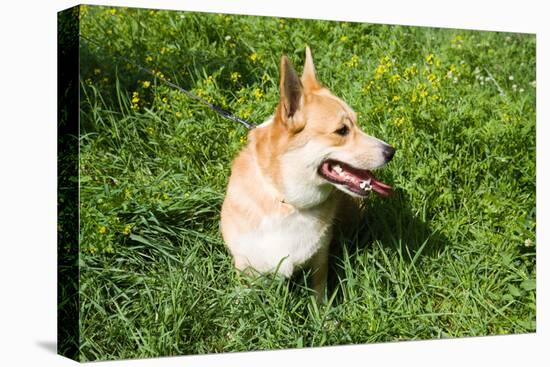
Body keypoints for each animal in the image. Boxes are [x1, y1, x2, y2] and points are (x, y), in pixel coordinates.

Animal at [220, 46, 396, 302]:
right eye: (342, 131)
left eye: (357, 124)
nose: (391, 151)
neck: (288, 202)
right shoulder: (245, 265)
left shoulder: (319, 259)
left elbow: (318, 293)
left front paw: (321, 312)